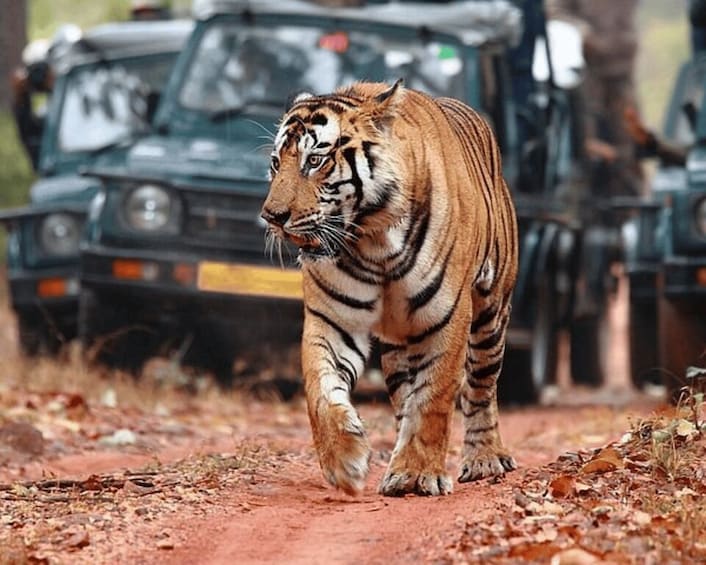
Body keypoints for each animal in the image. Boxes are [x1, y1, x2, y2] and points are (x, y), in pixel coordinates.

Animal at [260, 78, 516, 494]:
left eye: (314, 161)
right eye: (275, 163)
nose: (271, 216)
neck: (373, 240)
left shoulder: (447, 317)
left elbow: (434, 397)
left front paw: (418, 474)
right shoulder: (332, 321)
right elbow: (320, 390)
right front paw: (344, 462)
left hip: (490, 314)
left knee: (481, 387)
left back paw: (485, 459)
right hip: (398, 345)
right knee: (404, 397)